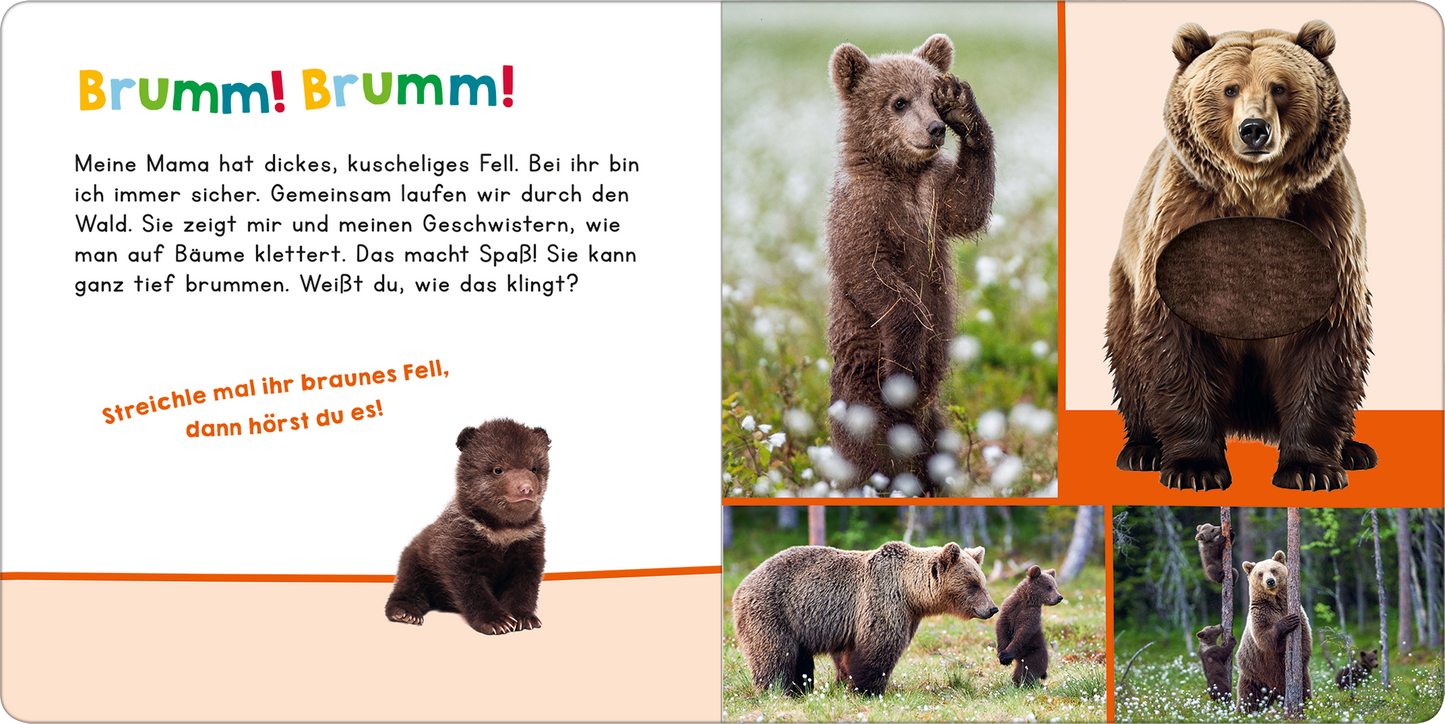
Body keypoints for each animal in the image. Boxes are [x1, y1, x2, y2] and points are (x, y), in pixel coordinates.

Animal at [384, 418, 550, 635]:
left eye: (533, 468)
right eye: (498, 469)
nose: (526, 488)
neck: (502, 527)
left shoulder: (527, 541)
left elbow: (523, 584)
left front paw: (524, 617)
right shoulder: (461, 542)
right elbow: (470, 586)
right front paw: (496, 620)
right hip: (417, 559)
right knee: (410, 583)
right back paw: (405, 612)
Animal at [731, 541, 997, 695]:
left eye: (982, 582)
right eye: (973, 584)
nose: (992, 608)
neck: (911, 593)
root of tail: (741, 585)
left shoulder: (904, 615)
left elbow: (846, 656)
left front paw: (845, 682)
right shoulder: (883, 600)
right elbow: (878, 647)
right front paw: (867, 689)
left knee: (799, 658)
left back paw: (800, 689)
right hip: (773, 612)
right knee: (775, 654)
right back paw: (778, 689)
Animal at [824, 34, 995, 494]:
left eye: (931, 99)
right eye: (898, 102)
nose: (934, 128)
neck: (901, 173)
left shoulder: (933, 195)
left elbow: (968, 205)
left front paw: (963, 105)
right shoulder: (863, 209)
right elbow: (872, 275)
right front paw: (906, 359)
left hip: (935, 423)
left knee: (939, 449)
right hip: (863, 402)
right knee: (870, 456)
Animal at [1105, 20, 1376, 492]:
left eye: (1280, 87)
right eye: (1229, 88)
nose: (1254, 129)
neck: (1255, 192)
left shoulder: (1327, 231)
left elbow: (1325, 346)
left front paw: (1310, 469)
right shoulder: (1183, 227)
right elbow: (1178, 341)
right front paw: (1194, 468)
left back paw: (1355, 450)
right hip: (1126, 284)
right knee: (1129, 359)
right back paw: (1142, 449)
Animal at [1235, 550, 1312, 711]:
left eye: (1274, 570)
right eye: (1260, 573)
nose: (1270, 581)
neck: (1276, 602)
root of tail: (1276, 693)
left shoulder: (1299, 613)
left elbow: (1305, 638)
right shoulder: (1260, 614)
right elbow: (1264, 637)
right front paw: (1288, 621)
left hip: (1300, 678)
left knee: (1305, 690)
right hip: (1254, 676)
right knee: (1248, 699)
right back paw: (1243, 712)